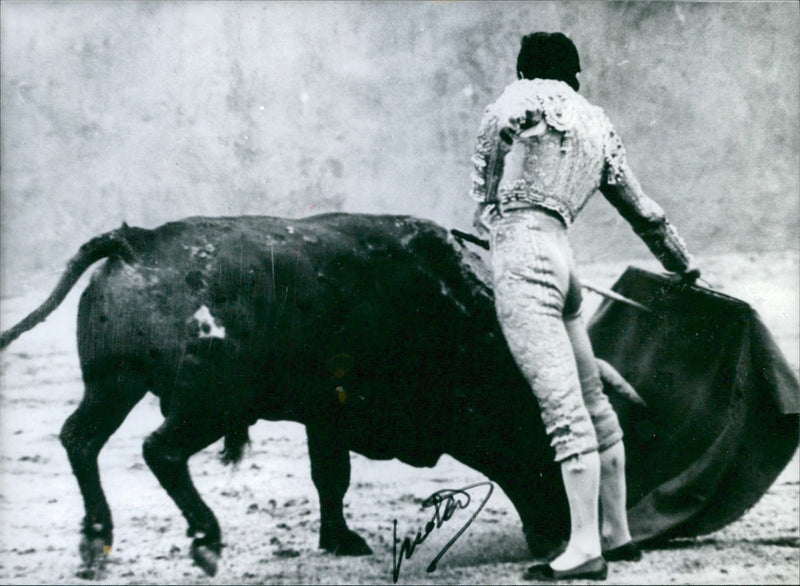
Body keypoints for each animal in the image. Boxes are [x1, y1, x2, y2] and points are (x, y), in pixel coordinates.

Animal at [1, 211, 800, 576]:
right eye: (537, 442)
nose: (555, 538)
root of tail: (135, 240)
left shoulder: (325, 413)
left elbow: (330, 476)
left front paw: (341, 540)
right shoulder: (336, 410)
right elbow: (334, 473)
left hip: (113, 384)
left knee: (80, 439)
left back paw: (96, 540)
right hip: (208, 402)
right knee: (159, 450)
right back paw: (203, 540)